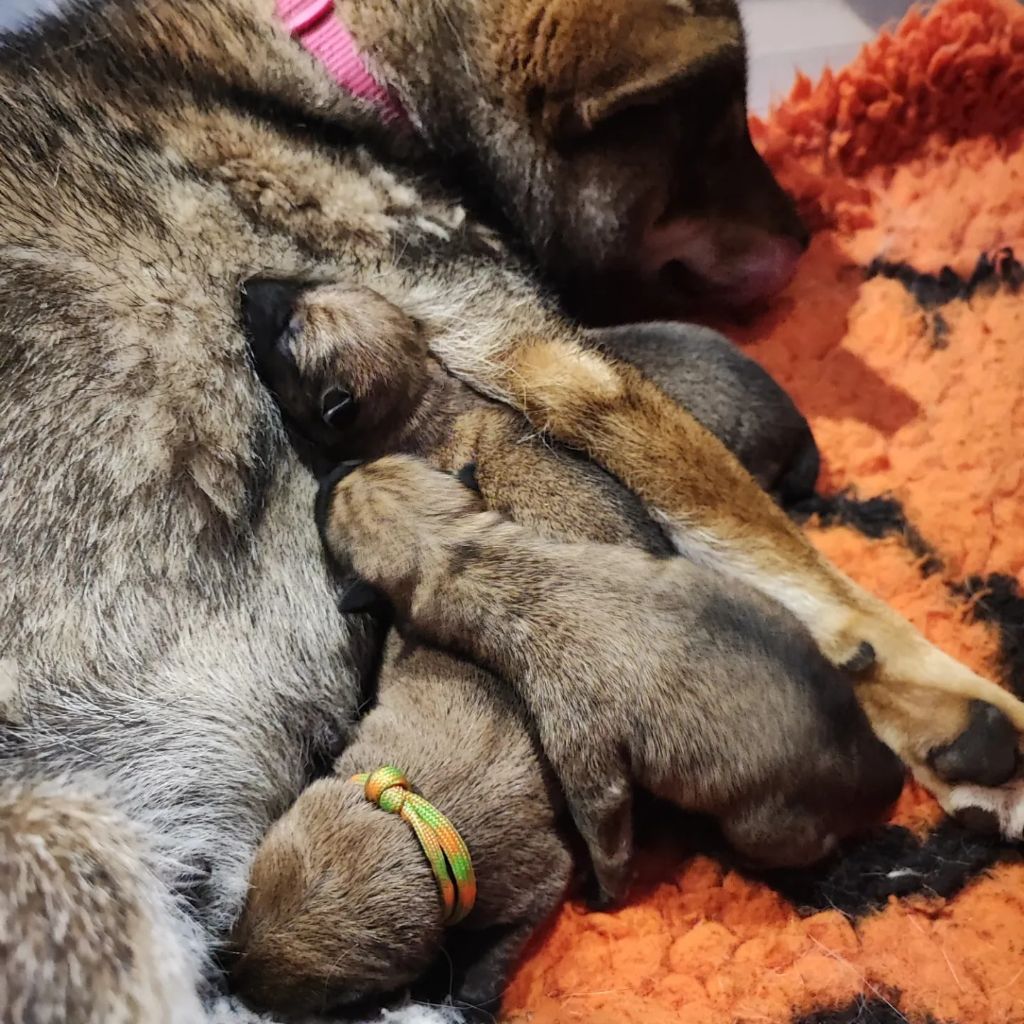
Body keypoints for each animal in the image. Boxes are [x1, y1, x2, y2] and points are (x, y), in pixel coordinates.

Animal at [2, 2, 1024, 1024]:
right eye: (702, 120)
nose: (809, 235)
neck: (339, 64)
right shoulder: (563, 368)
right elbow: (807, 572)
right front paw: (975, 722)